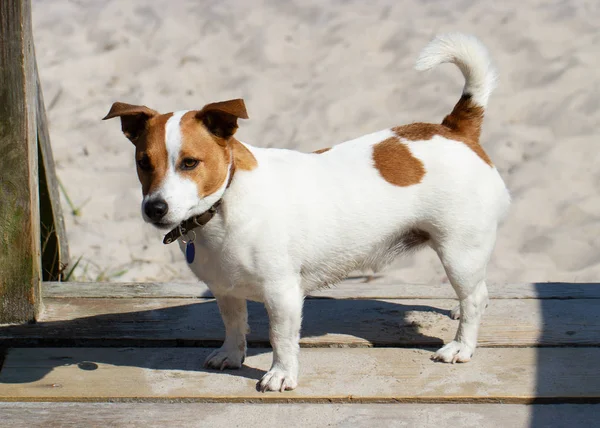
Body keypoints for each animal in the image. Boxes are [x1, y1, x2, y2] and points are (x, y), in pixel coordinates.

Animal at [103, 33, 510, 392]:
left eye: (189, 163)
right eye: (143, 163)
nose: (155, 207)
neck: (226, 201)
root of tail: (454, 129)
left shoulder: (282, 293)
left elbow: (281, 338)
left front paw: (280, 375)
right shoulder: (226, 290)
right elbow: (234, 325)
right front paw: (231, 355)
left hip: (459, 251)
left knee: (473, 296)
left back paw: (462, 346)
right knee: (477, 293)